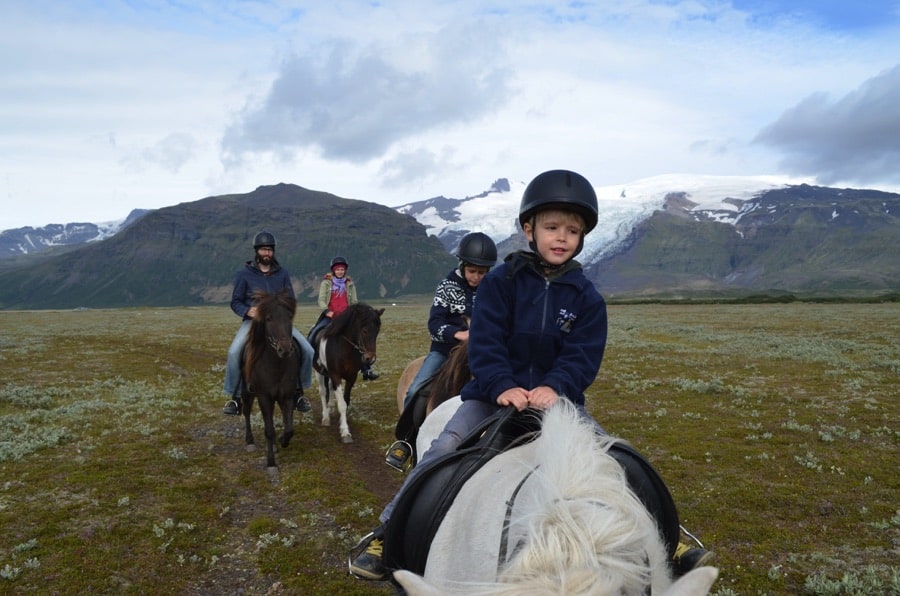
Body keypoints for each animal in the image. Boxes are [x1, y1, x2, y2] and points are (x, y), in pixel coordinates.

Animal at [241, 288, 300, 470]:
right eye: (268, 318)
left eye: (289, 316)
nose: (285, 349)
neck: (276, 365)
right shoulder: (264, 397)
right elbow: (269, 430)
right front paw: (271, 462)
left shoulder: (286, 396)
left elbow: (289, 427)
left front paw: (282, 440)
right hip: (246, 392)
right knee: (246, 411)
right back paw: (250, 441)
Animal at [312, 304, 384, 440]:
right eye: (364, 331)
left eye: (377, 331)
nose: (370, 358)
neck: (344, 348)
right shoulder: (336, 375)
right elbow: (342, 404)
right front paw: (345, 431)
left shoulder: (351, 377)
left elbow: (345, 400)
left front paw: (343, 424)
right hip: (319, 372)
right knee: (323, 392)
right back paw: (325, 417)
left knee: (330, 388)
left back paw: (330, 408)